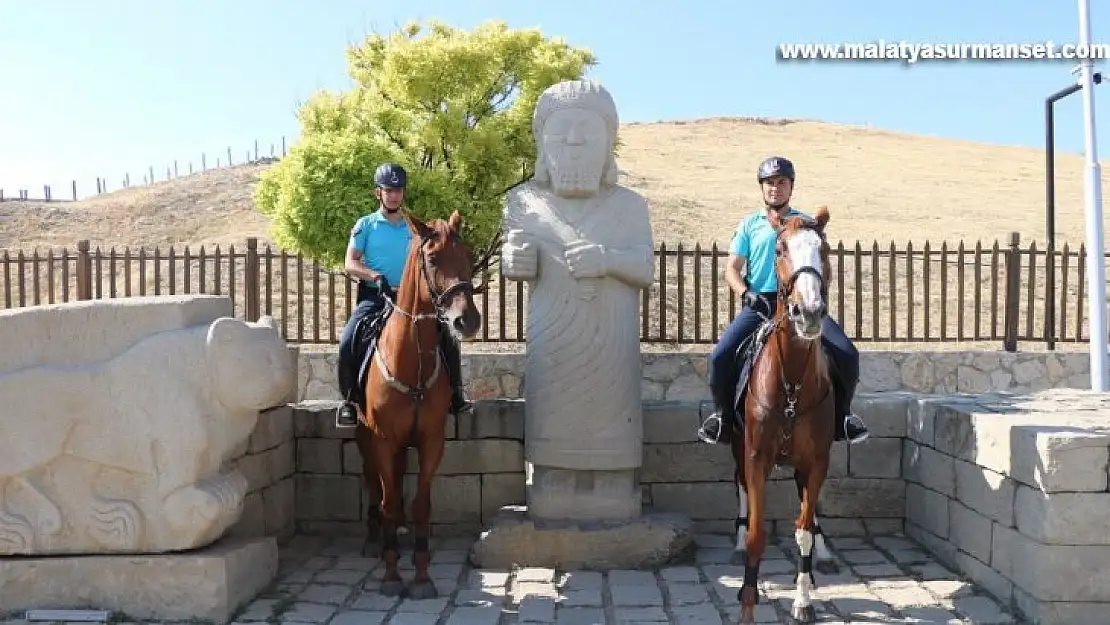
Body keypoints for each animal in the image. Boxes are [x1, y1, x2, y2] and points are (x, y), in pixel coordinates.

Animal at [352, 208, 479, 599]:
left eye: (468, 256)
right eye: (433, 259)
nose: (467, 320)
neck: (411, 359)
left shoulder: (430, 440)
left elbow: (421, 503)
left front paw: (421, 575)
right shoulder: (382, 439)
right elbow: (389, 500)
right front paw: (392, 574)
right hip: (364, 437)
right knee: (374, 483)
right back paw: (374, 539)